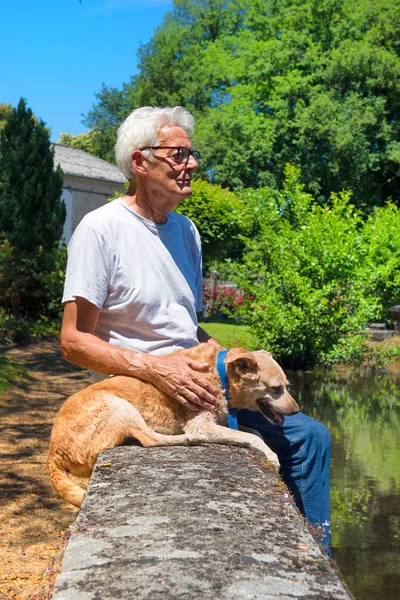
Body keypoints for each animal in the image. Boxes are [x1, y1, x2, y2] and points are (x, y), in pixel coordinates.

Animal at [47, 342, 298, 506]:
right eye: (276, 388)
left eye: (287, 385)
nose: (296, 410)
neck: (222, 375)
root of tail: (52, 452)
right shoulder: (202, 426)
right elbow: (252, 436)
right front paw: (271, 454)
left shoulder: (223, 421)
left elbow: (253, 431)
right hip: (119, 405)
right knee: (150, 439)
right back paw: (185, 440)